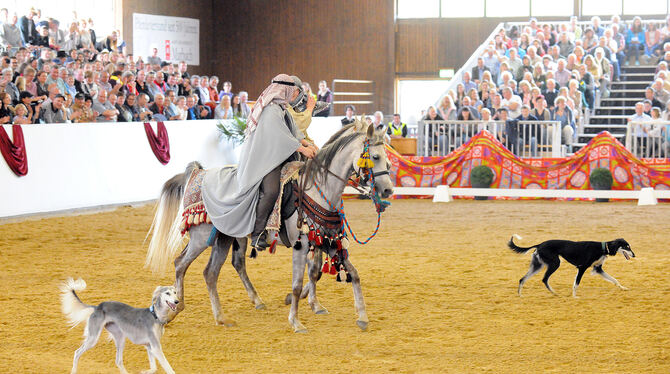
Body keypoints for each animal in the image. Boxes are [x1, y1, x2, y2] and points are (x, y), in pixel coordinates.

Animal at [147, 118, 396, 332]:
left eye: (387, 157)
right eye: (375, 156)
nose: (387, 190)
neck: (318, 190)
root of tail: (199, 172)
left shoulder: (326, 242)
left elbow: (349, 273)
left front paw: (361, 316)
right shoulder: (302, 246)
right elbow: (298, 283)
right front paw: (296, 321)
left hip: (226, 238)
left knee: (215, 271)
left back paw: (231, 312)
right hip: (202, 238)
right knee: (181, 264)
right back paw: (176, 306)